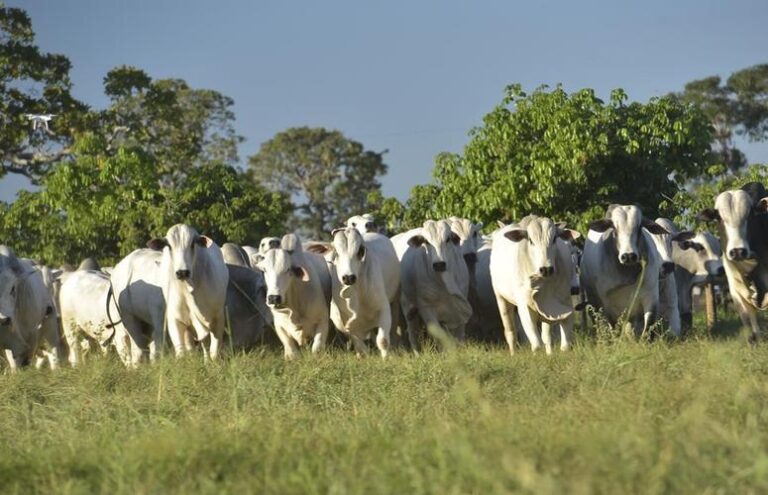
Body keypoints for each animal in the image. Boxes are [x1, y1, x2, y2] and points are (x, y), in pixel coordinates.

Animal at [147, 225, 230, 360]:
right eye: (169, 245)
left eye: (192, 244)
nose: (182, 272)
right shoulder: (175, 319)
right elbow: (182, 352)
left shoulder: (218, 317)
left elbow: (214, 351)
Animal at [308, 227, 400, 358]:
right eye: (336, 252)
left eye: (360, 251)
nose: (348, 277)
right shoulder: (344, 323)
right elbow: (360, 345)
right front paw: (363, 356)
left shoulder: (383, 309)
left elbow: (383, 340)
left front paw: (386, 358)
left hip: (395, 301)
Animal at [400, 219, 472, 350]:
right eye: (426, 242)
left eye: (448, 239)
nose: (439, 264)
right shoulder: (426, 308)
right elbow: (440, 337)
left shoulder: (461, 307)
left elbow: (459, 336)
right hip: (407, 308)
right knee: (413, 334)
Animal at [488, 216, 580, 352]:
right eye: (531, 241)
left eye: (554, 239)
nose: (546, 269)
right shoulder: (525, 307)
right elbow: (537, 345)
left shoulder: (564, 306)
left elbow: (564, 345)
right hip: (501, 299)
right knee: (510, 333)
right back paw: (513, 353)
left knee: (546, 337)